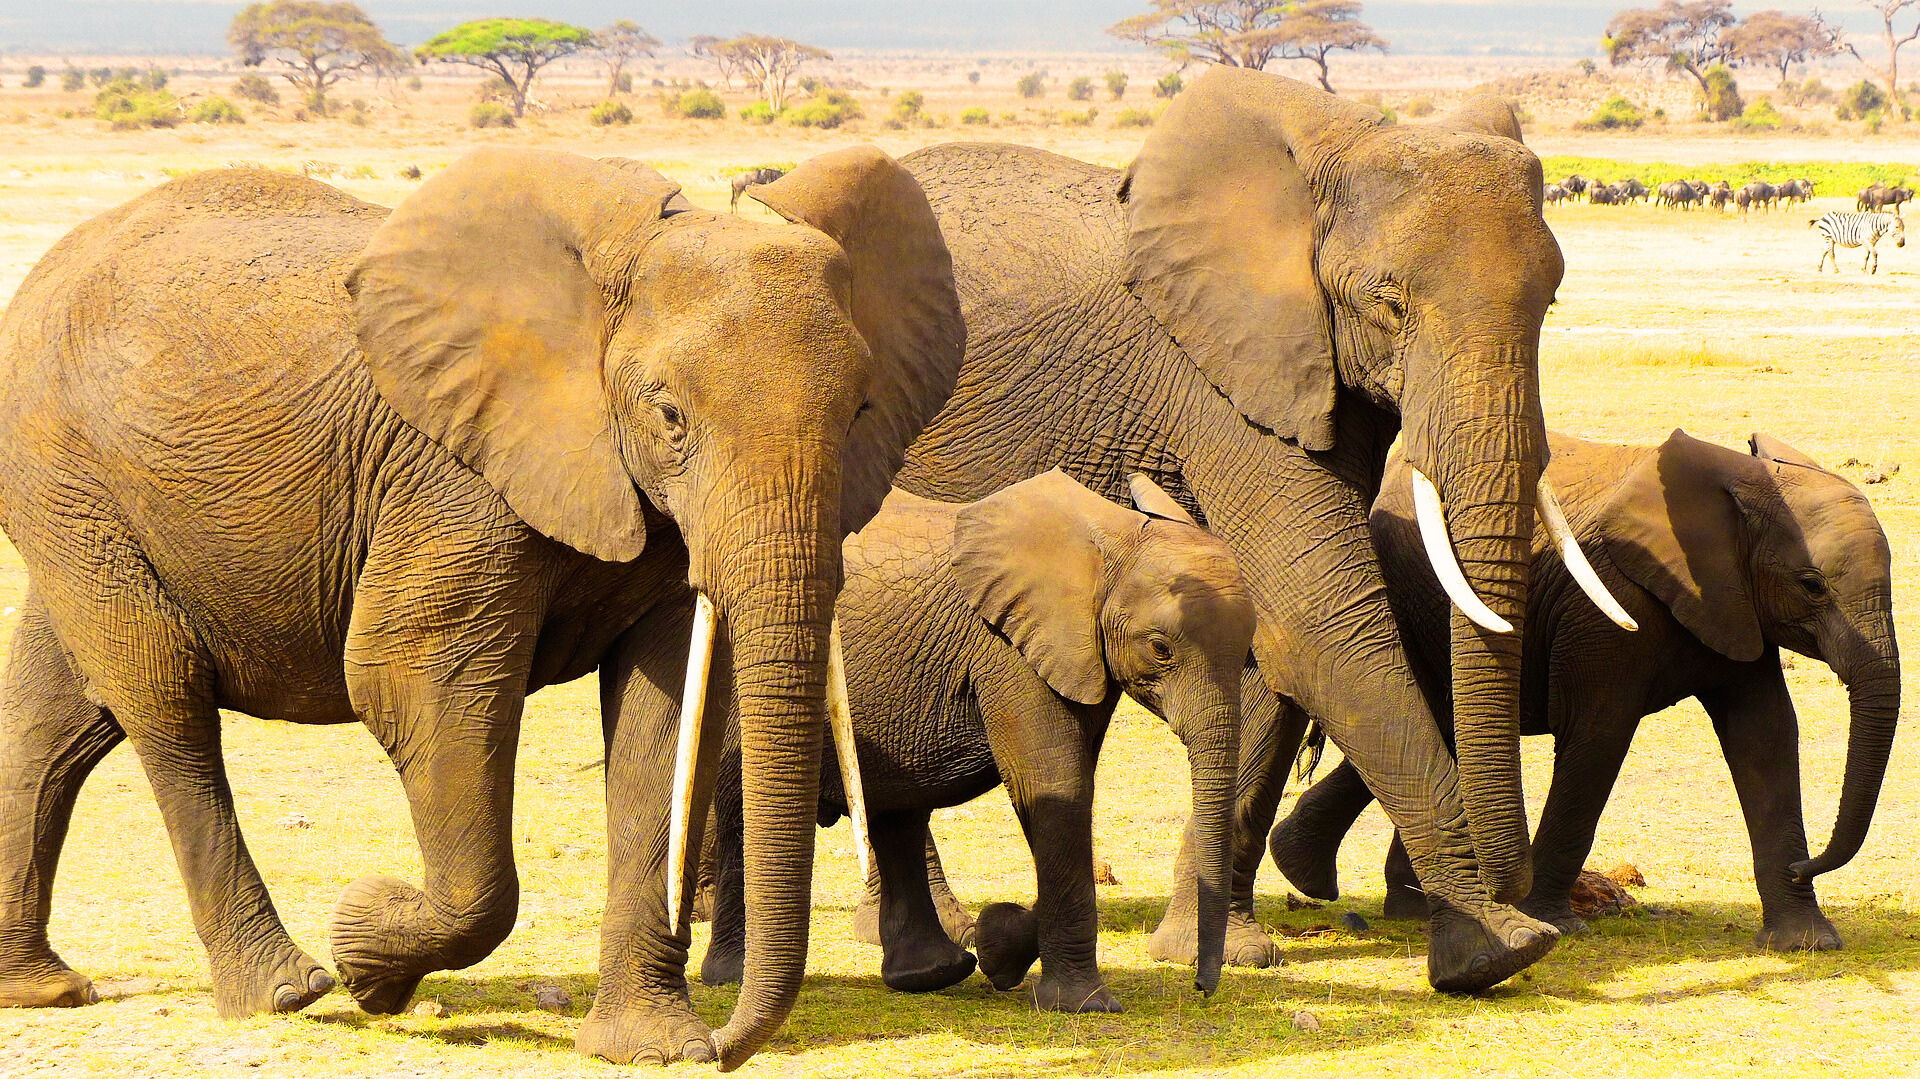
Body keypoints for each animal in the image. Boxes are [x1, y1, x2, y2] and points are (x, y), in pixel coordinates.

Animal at [0, 145, 965, 1069]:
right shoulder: (452, 478)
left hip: (72, 503)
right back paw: (287, 988)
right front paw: (367, 949)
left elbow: (661, 716)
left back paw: (42, 988)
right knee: (164, 703)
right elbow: (413, 679)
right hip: (68, 477)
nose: (729, 1047)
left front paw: (652, 1047)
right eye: (669, 416)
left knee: (56, 719)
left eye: (862, 411)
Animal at [700, 470, 1252, 1011]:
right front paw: (1083, 1005)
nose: (1201, 988)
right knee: (744, 808)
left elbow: (1064, 789)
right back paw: (729, 976)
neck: (1109, 539)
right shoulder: (1009, 648)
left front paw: (998, 945)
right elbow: (1054, 785)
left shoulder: (1080, 654)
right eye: (1160, 648)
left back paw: (931, 973)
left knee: (896, 812)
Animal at [849, 67, 1640, 994]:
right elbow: (1317, 621)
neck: (1342, 148)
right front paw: (1497, 950)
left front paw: (1221, 950)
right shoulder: (1219, 382)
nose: (1515, 884)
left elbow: (1264, 642)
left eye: (1551, 299)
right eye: (1388, 302)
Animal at [1270, 431, 1899, 952]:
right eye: (1812, 585)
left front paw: (1807, 943)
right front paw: (1558, 926)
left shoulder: (1737, 607)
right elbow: (1599, 738)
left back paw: (1375, 896)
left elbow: (1765, 738)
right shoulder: (1604, 611)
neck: (1738, 481)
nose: (1805, 865)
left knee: (1434, 725)